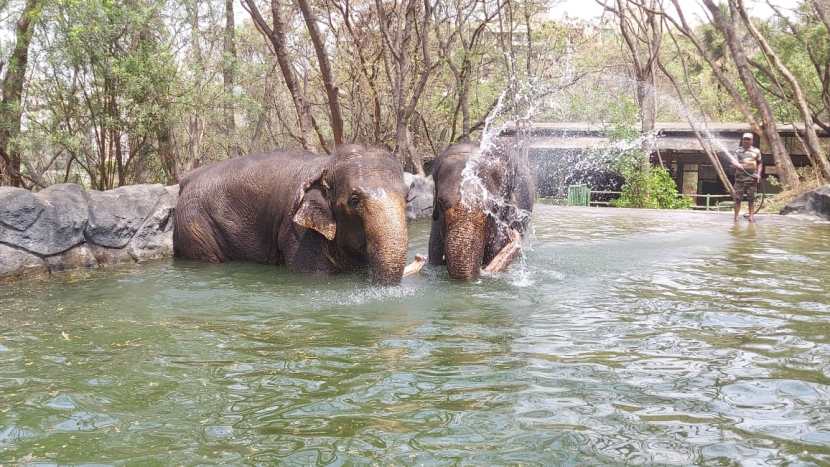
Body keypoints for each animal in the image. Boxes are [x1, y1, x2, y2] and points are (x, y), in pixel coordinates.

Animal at [175, 145, 410, 286]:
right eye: (354, 200)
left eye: (407, 197)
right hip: (195, 224)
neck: (327, 163)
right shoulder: (298, 231)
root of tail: (186, 180)